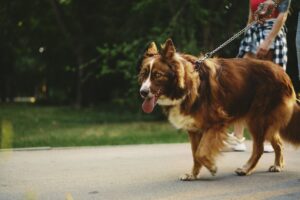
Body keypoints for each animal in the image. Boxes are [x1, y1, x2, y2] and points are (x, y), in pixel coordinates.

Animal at [138, 38, 300, 180]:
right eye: (144, 74)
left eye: (157, 75)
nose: (143, 92)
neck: (186, 84)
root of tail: (283, 73)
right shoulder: (193, 129)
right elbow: (195, 153)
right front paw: (193, 175)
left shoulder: (216, 123)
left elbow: (201, 152)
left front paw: (212, 167)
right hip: (265, 121)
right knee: (278, 143)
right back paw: (277, 165)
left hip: (258, 119)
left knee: (259, 148)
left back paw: (246, 168)